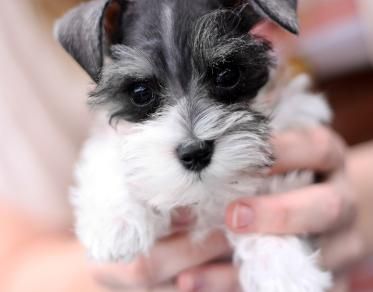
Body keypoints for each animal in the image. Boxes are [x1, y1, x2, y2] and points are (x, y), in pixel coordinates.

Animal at [57, 0, 332, 290]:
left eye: (227, 74)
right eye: (140, 93)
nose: (195, 153)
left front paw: (285, 270)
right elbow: (110, 153)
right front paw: (117, 224)